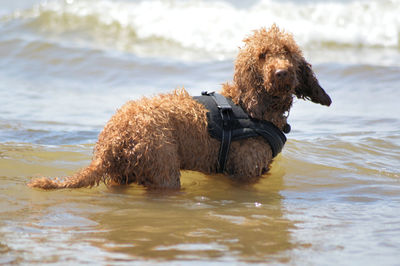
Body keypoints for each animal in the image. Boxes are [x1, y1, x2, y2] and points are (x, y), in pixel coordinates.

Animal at [28, 25, 332, 189]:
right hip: (163, 168)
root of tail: (110, 141)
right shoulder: (244, 171)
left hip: (122, 176)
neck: (250, 105)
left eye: (287, 52)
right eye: (262, 55)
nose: (282, 73)